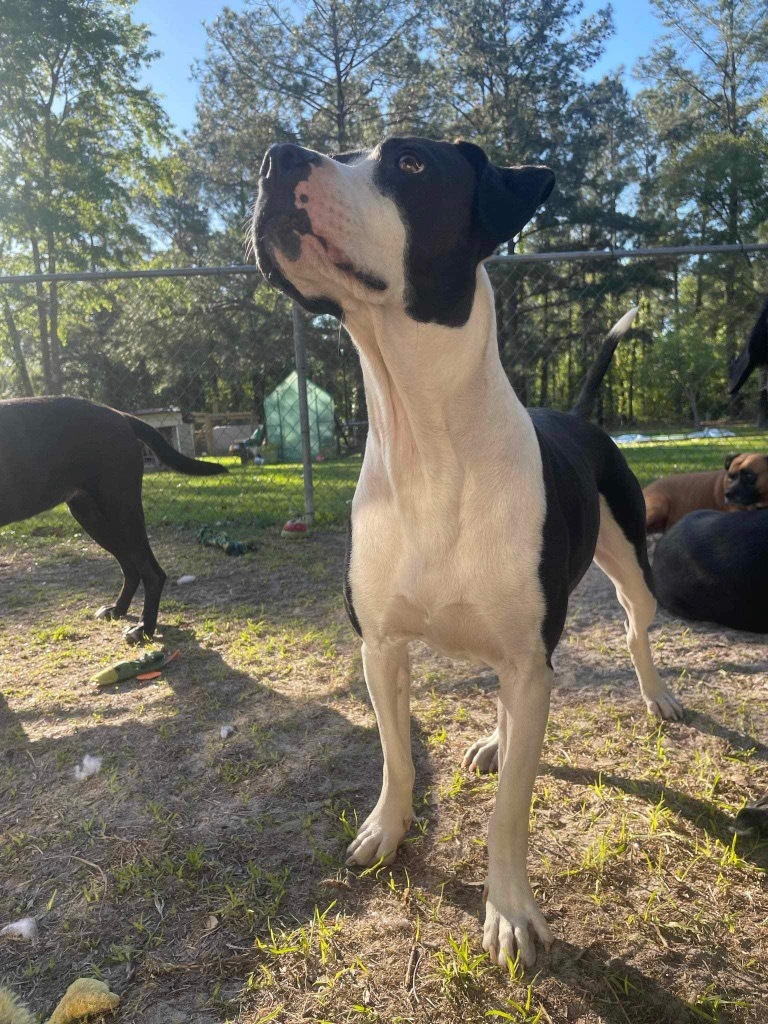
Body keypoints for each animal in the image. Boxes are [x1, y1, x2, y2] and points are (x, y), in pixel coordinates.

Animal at [1, 393, 225, 638]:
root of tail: (120, 415)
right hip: (93, 517)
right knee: (130, 568)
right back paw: (119, 609)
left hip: (120, 511)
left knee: (152, 573)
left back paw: (144, 627)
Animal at [253, 138, 684, 966]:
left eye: (411, 164)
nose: (276, 156)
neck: (425, 445)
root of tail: (575, 415)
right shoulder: (382, 648)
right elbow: (395, 757)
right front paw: (386, 831)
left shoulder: (525, 659)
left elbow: (509, 811)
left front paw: (509, 910)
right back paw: (493, 739)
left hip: (630, 572)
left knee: (633, 628)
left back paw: (656, 696)